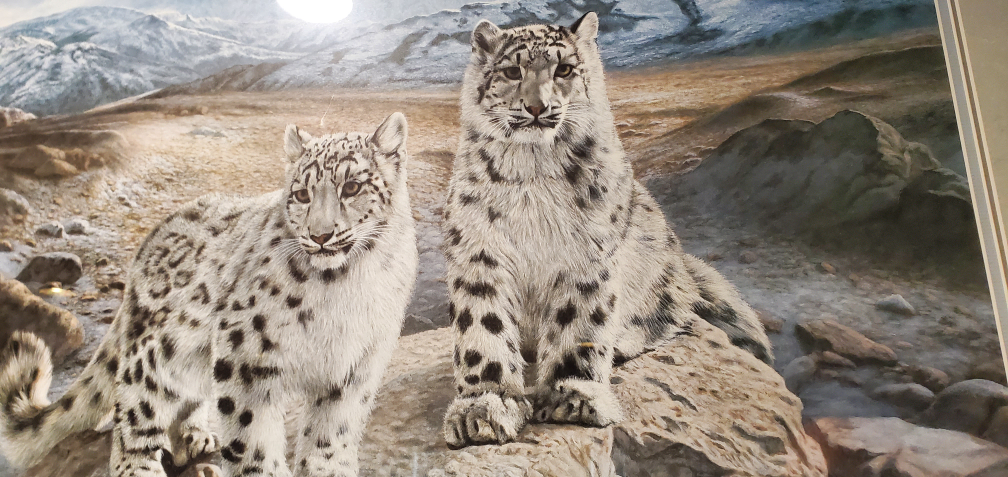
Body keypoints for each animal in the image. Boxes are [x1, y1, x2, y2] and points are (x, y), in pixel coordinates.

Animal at [0, 112, 419, 477]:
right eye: (301, 194)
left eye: (352, 187)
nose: (320, 235)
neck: (347, 288)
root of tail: (148, 243)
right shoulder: (246, 355)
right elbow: (251, 437)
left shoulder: (357, 365)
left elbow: (332, 435)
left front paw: (329, 469)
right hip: (162, 349)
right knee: (134, 407)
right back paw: (140, 465)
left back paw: (194, 436)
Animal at [440, 12, 773, 448]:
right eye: (512, 71)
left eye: (564, 69)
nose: (537, 107)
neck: (532, 172)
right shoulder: (480, 252)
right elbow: (483, 327)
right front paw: (482, 407)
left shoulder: (586, 253)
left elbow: (579, 322)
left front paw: (572, 397)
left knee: (673, 311)